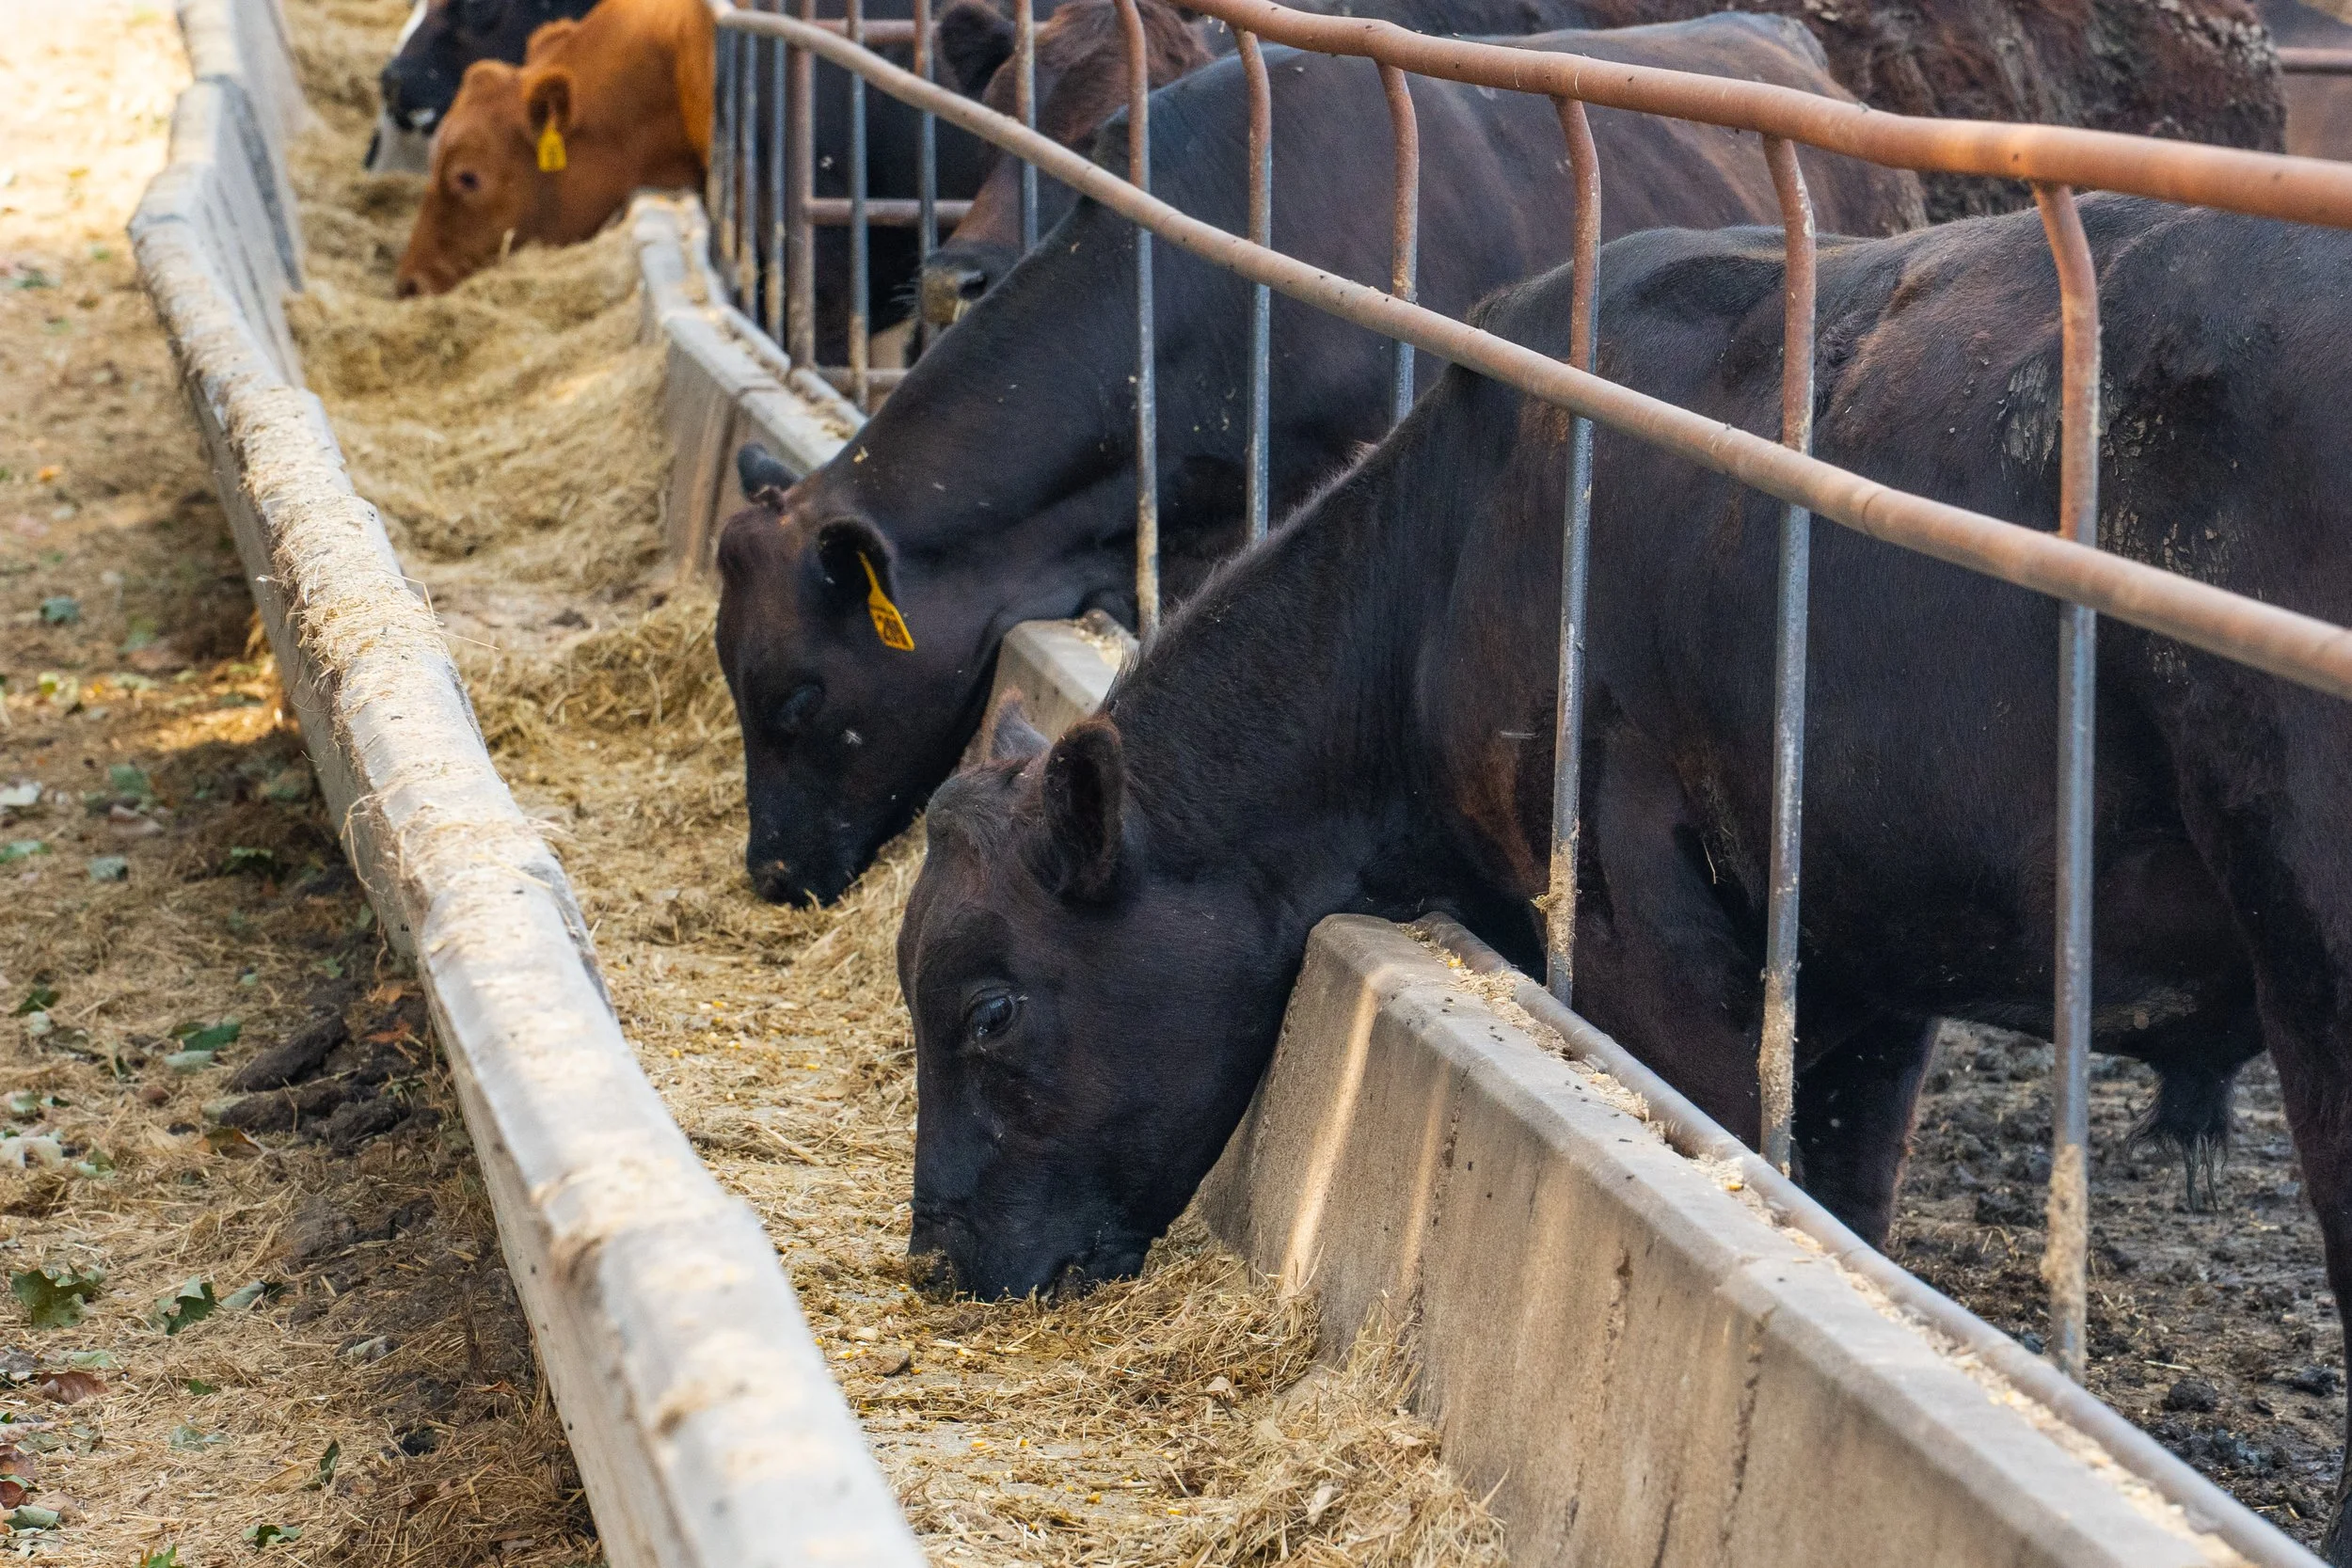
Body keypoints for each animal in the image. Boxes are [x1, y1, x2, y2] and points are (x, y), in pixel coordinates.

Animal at [894, 195, 2352, 1553]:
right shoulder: (1878, 959)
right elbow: (1845, 1201)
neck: (1445, 563)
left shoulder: (1636, 927)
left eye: (990, 1008)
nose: (934, 1256)